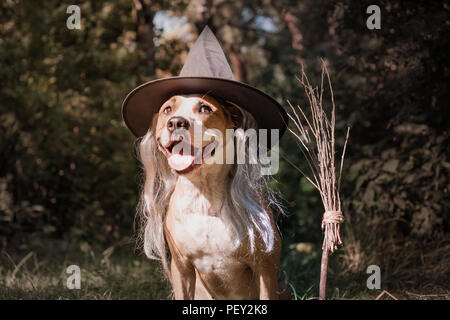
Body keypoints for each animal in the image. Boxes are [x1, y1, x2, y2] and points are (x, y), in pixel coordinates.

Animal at [137, 94, 290, 298]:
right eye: (167, 109)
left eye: (205, 109)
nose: (176, 122)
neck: (203, 194)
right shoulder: (181, 267)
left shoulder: (265, 266)